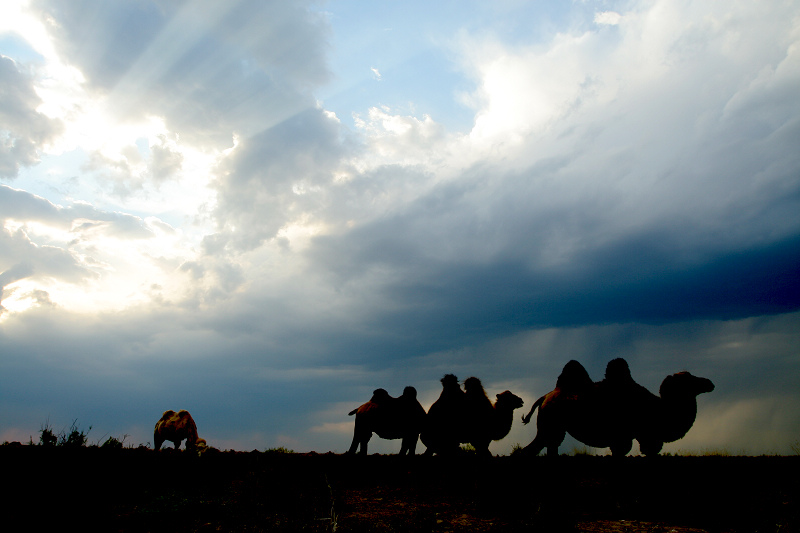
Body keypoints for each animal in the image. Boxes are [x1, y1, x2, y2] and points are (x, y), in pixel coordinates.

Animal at [520, 356, 716, 456]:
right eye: (689, 378)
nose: (709, 383)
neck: (658, 409)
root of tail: (544, 397)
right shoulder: (635, 436)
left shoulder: (633, 438)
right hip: (551, 425)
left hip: (551, 428)